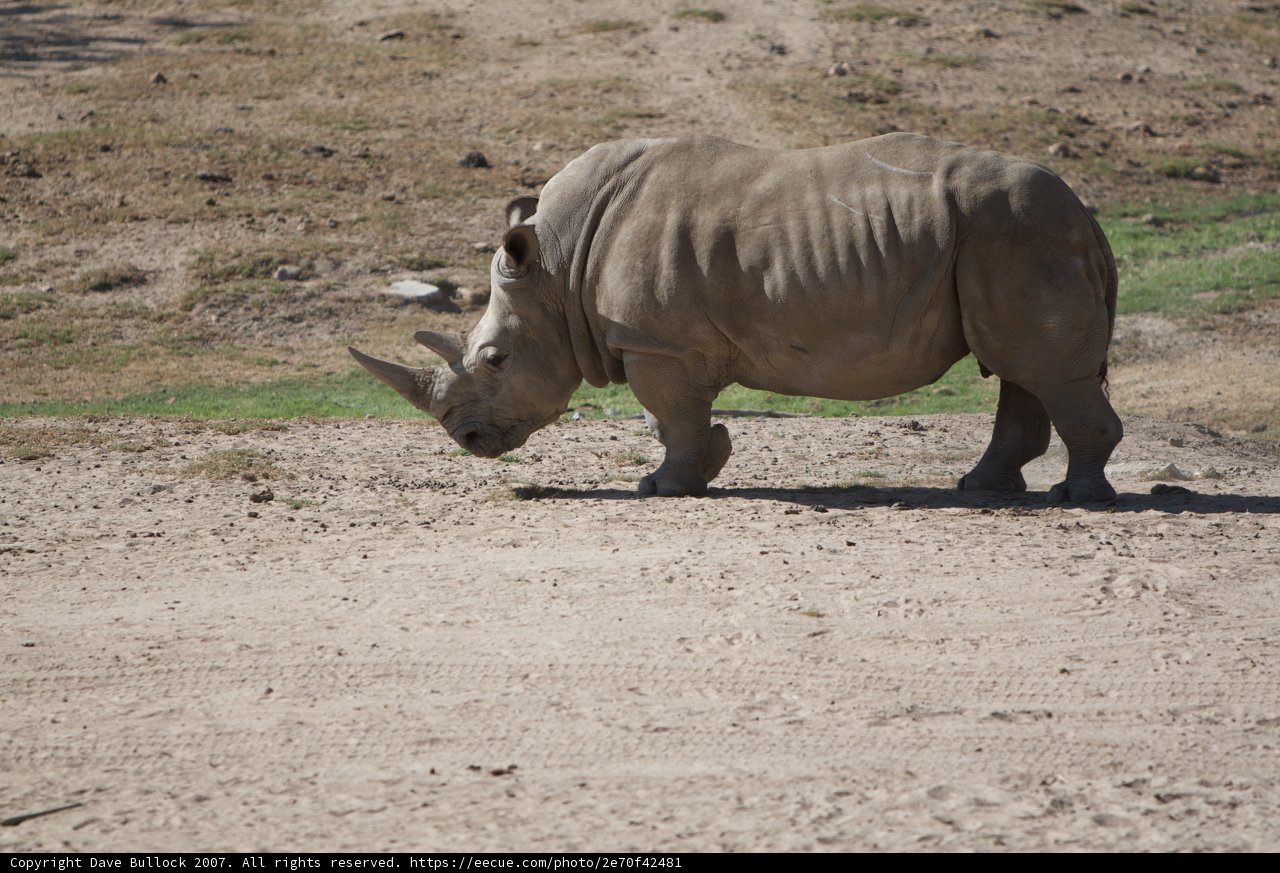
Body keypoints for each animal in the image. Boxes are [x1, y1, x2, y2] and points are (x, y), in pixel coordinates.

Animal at [350, 133, 1121, 502]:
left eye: (495, 359)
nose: (468, 439)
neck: (557, 268)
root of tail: (1087, 214)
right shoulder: (664, 341)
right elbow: (671, 417)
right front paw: (704, 468)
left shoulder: (655, 341)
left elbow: (670, 414)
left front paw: (662, 488)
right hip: (1006, 237)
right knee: (1023, 368)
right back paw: (983, 488)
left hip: (1017, 233)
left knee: (1042, 368)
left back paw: (1075, 497)